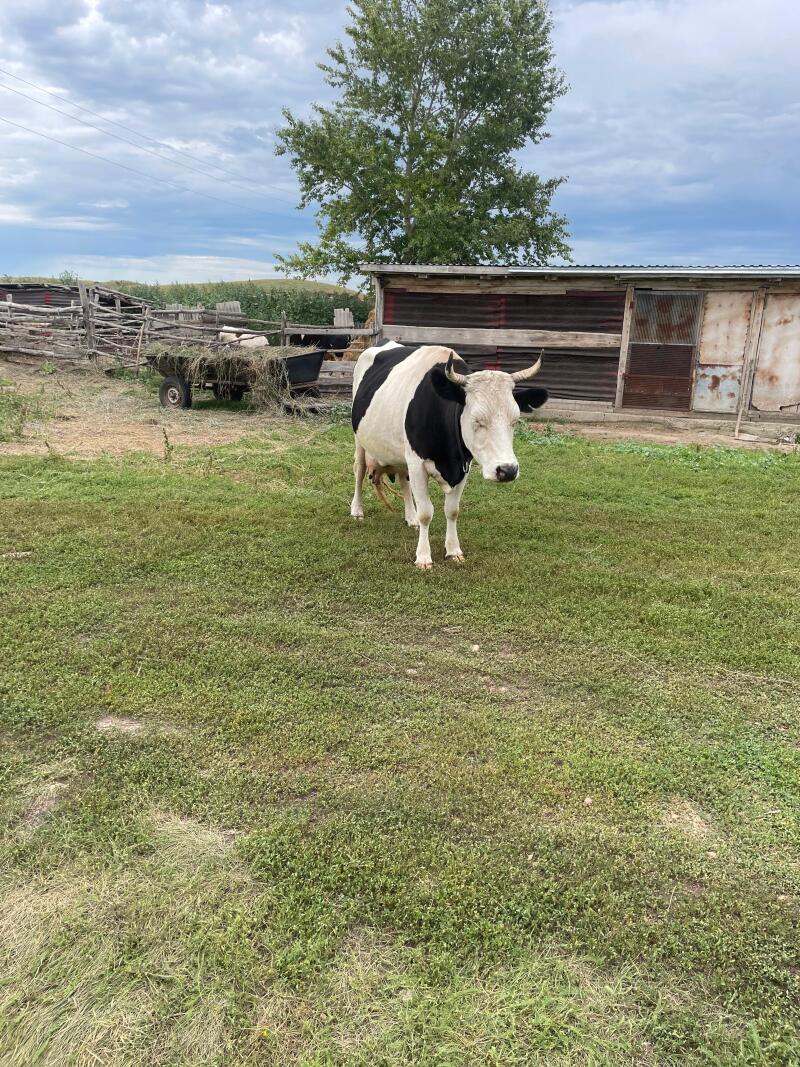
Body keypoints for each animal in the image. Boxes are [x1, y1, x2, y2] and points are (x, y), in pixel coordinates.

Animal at [350, 340, 547, 568]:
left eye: (515, 420)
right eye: (477, 420)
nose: (507, 470)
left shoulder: (462, 467)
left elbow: (452, 510)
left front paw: (453, 550)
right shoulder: (417, 463)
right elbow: (426, 512)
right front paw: (423, 557)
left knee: (403, 480)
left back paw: (411, 518)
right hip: (360, 441)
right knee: (359, 471)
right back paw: (357, 510)